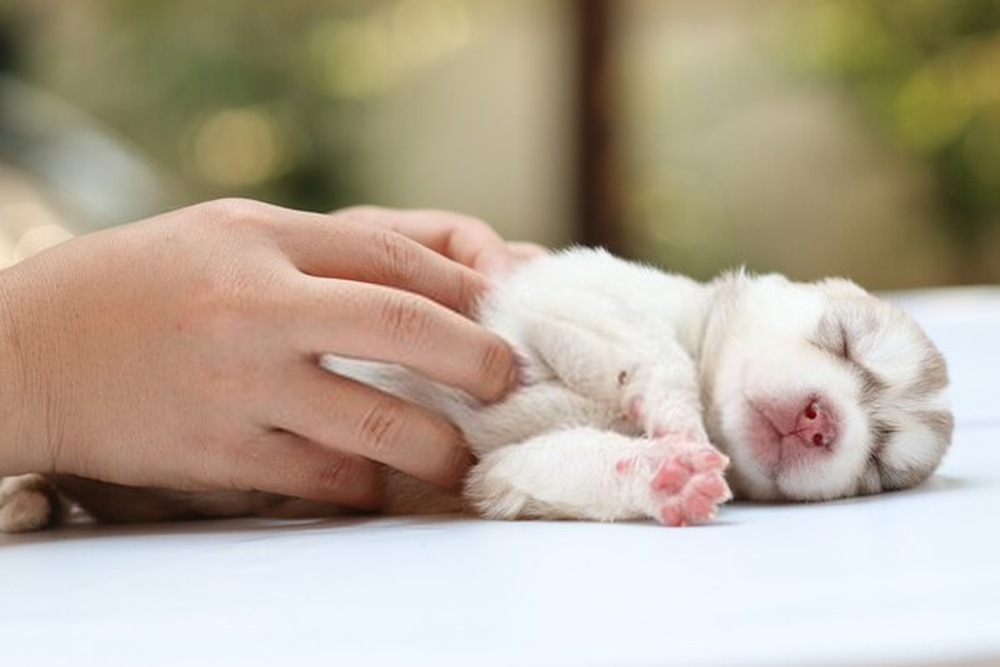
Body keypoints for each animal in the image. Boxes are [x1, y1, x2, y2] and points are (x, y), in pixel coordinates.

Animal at [0, 248, 952, 536]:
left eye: (879, 461)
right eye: (842, 340)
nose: (823, 420)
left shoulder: (499, 474)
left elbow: (563, 464)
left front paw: (668, 476)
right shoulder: (570, 292)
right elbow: (655, 359)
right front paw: (679, 423)